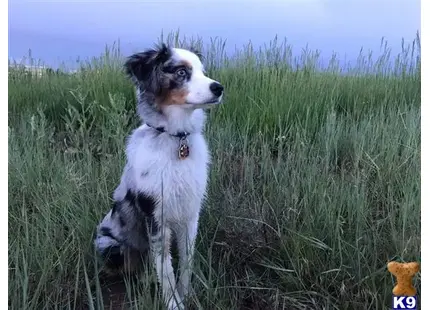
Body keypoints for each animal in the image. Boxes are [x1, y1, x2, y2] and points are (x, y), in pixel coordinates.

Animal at [93, 44, 223, 310]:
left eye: (203, 71)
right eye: (181, 72)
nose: (219, 88)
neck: (176, 139)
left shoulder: (190, 212)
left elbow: (186, 260)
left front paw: (187, 295)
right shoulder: (155, 216)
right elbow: (165, 269)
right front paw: (174, 303)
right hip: (109, 246)